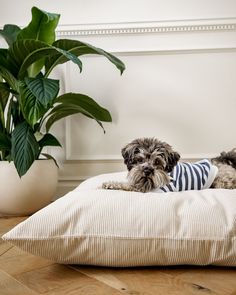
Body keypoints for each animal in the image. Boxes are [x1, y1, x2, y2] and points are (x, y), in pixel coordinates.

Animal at [102, 138, 236, 193]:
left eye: (157, 162)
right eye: (139, 160)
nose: (147, 170)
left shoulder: (151, 189)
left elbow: (128, 186)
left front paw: (109, 184)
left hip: (221, 182)